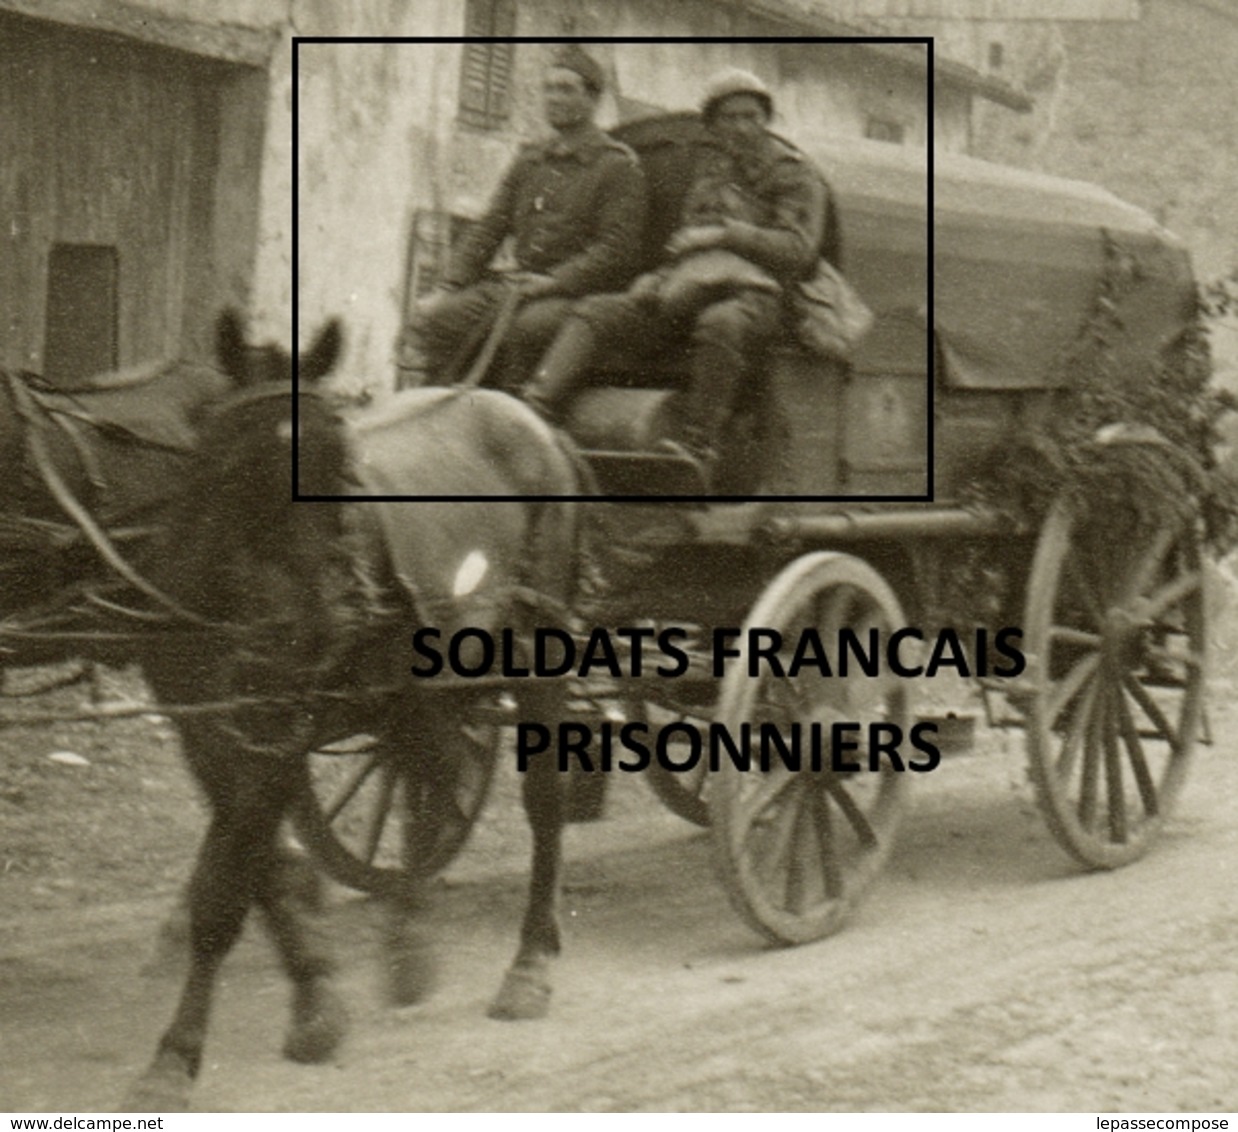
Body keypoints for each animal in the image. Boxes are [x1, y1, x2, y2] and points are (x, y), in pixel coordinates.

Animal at [124, 313, 584, 1109]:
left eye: (339, 464)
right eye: (240, 470)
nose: (325, 622)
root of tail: (528, 417)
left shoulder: (279, 731)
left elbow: (231, 884)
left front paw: (178, 1055)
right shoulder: (205, 727)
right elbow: (250, 871)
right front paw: (311, 1003)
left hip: (535, 646)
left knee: (542, 804)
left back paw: (528, 962)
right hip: (422, 684)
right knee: (429, 777)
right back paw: (409, 942)